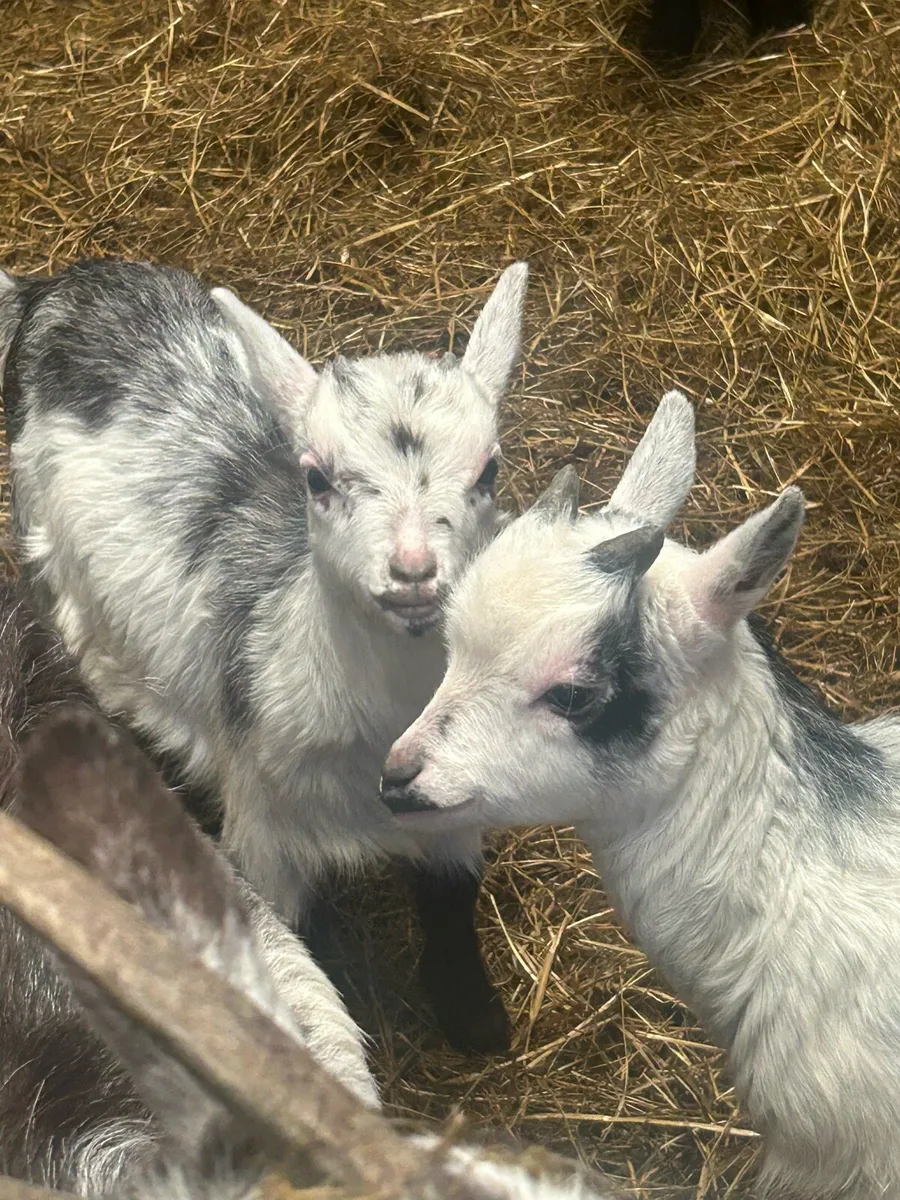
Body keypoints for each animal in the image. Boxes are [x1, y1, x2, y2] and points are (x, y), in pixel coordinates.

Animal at [0, 256, 530, 1053]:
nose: (412, 571)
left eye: (488, 471)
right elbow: (303, 937)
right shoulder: (261, 827)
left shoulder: (450, 807)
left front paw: (477, 1020)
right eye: (316, 477)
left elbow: (452, 898)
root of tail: (56, 288)